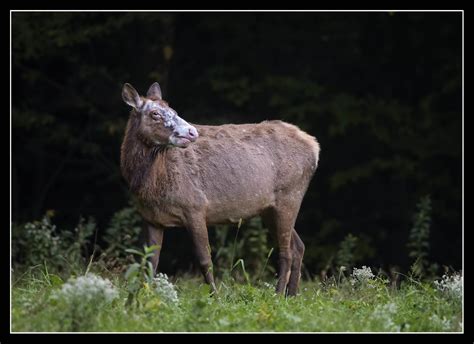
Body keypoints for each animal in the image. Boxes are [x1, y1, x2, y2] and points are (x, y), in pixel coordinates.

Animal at [120, 82, 320, 294]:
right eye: (155, 114)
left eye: (174, 110)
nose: (192, 132)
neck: (150, 187)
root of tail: (315, 146)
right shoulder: (151, 218)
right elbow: (150, 262)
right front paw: (143, 294)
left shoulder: (195, 206)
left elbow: (205, 260)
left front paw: (215, 296)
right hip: (269, 209)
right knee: (298, 246)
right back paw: (292, 295)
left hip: (290, 195)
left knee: (286, 251)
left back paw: (279, 294)